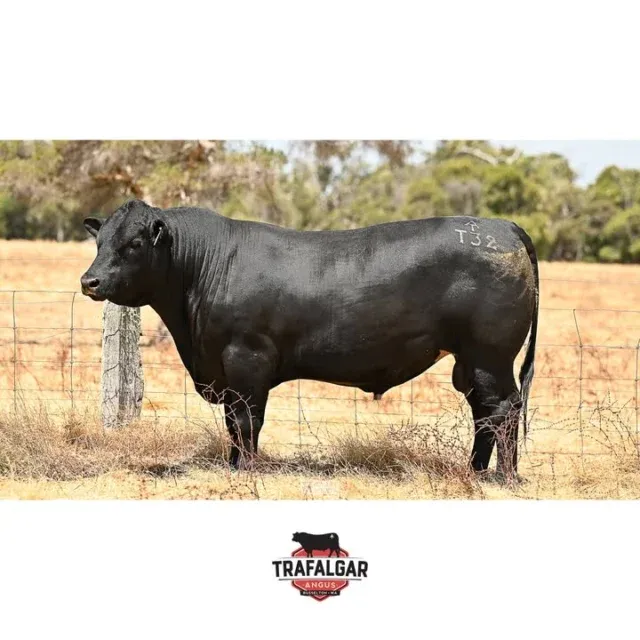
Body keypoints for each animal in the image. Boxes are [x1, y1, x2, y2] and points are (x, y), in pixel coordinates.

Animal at [80, 199, 539, 480]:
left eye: (135, 242)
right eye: (99, 241)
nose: (89, 281)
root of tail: (501, 225)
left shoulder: (247, 360)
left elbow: (246, 422)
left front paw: (246, 471)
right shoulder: (226, 371)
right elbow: (231, 424)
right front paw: (233, 467)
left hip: (490, 356)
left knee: (503, 409)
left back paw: (504, 477)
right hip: (471, 362)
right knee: (484, 413)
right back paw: (474, 472)